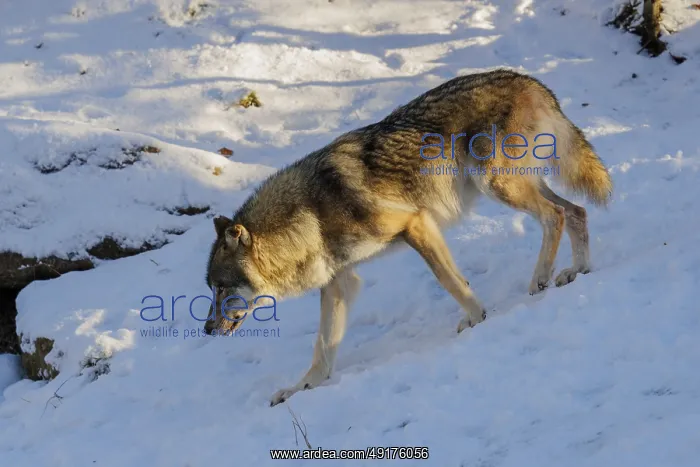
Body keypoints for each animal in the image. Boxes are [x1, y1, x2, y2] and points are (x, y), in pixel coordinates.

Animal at [204, 69, 613, 406]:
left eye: (221, 288)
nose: (207, 330)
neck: (310, 216)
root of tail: (532, 81)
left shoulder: (416, 223)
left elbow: (451, 282)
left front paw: (477, 318)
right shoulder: (340, 283)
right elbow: (322, 348)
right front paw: (301, 389)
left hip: (497, 185)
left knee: (556, 215)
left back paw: (540, 279)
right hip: (521, 185)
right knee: (577, 211)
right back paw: (576, 271)